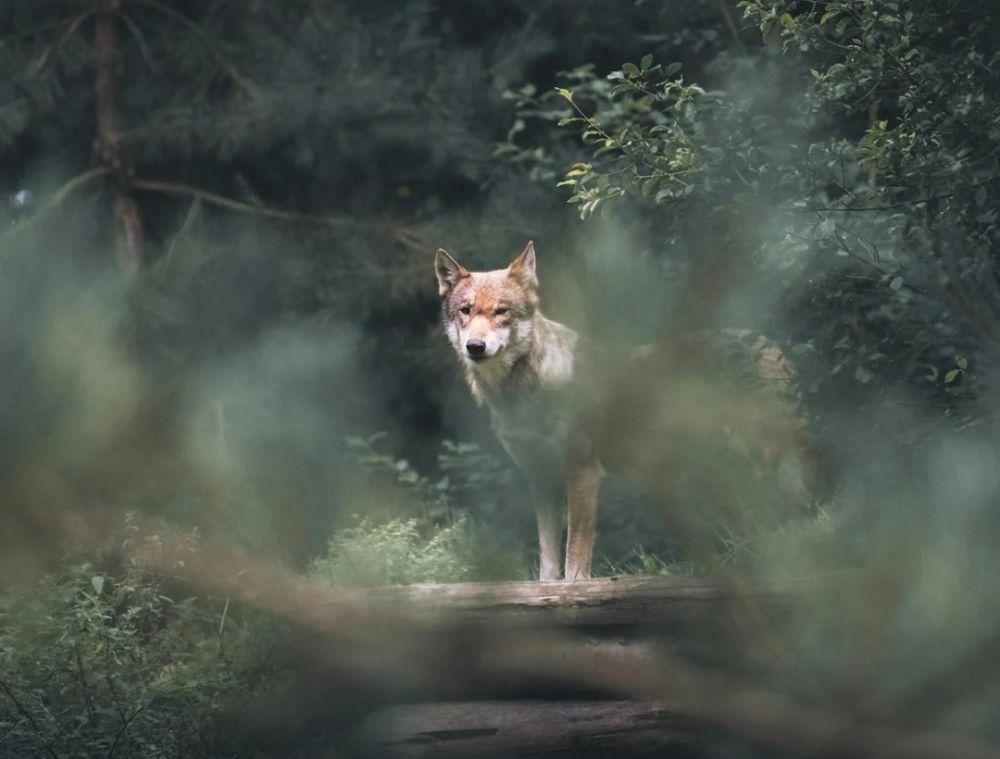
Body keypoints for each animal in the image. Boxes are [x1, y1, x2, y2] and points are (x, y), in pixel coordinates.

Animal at [434, 242, 808, 580]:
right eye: (466, 311)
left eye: (501, 312)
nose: (475, 347)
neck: (520, 396)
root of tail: (773, 346)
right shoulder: (541, 480)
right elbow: (548, 565)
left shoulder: (583, 472)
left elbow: (575, 561)